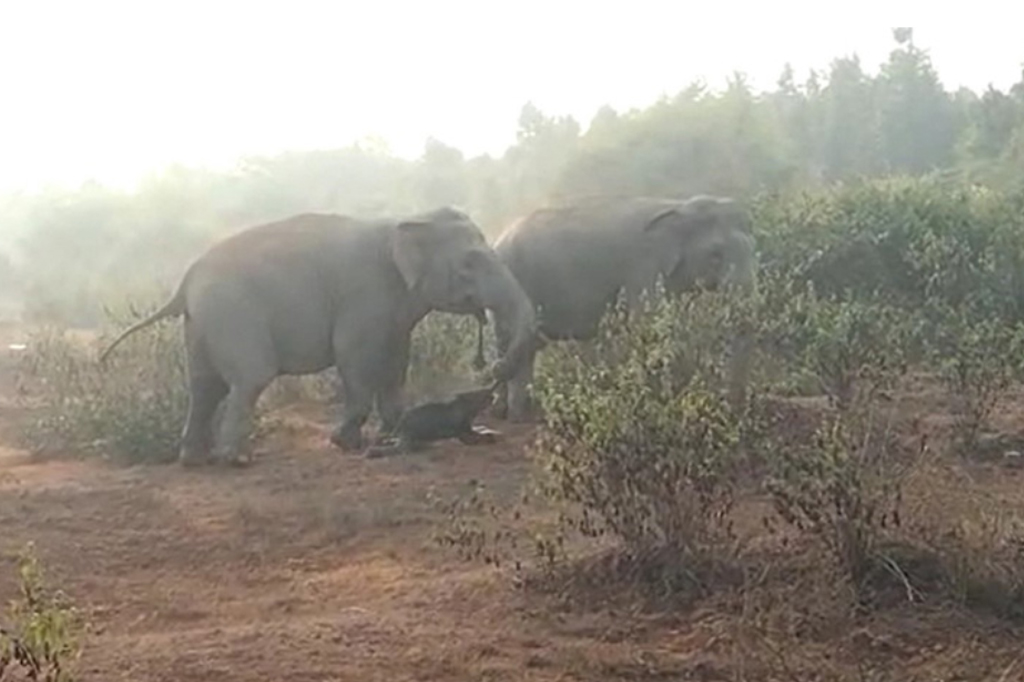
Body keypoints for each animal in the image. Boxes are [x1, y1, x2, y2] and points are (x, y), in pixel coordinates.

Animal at [99, 204, 540, 464]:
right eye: (470, 263)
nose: (491, 366)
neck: (408, 218)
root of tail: (185, 281)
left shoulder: (394, 307)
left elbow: (396, 359)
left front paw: (392, 431)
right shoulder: (365, 294)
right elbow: (356, 358)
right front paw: (346, 443)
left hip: (202, 324)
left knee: (204, 386)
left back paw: (193, 460)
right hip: (232, 315)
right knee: (249, 379)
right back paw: (234, 461)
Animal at [487, 191, 761, 421]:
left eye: (753, 248)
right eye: (715, 255)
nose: (735, 410)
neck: (678, 205)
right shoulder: (642, 269)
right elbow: (646, 324)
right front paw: (657, 404)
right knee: (510, 341)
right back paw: (513, 415)